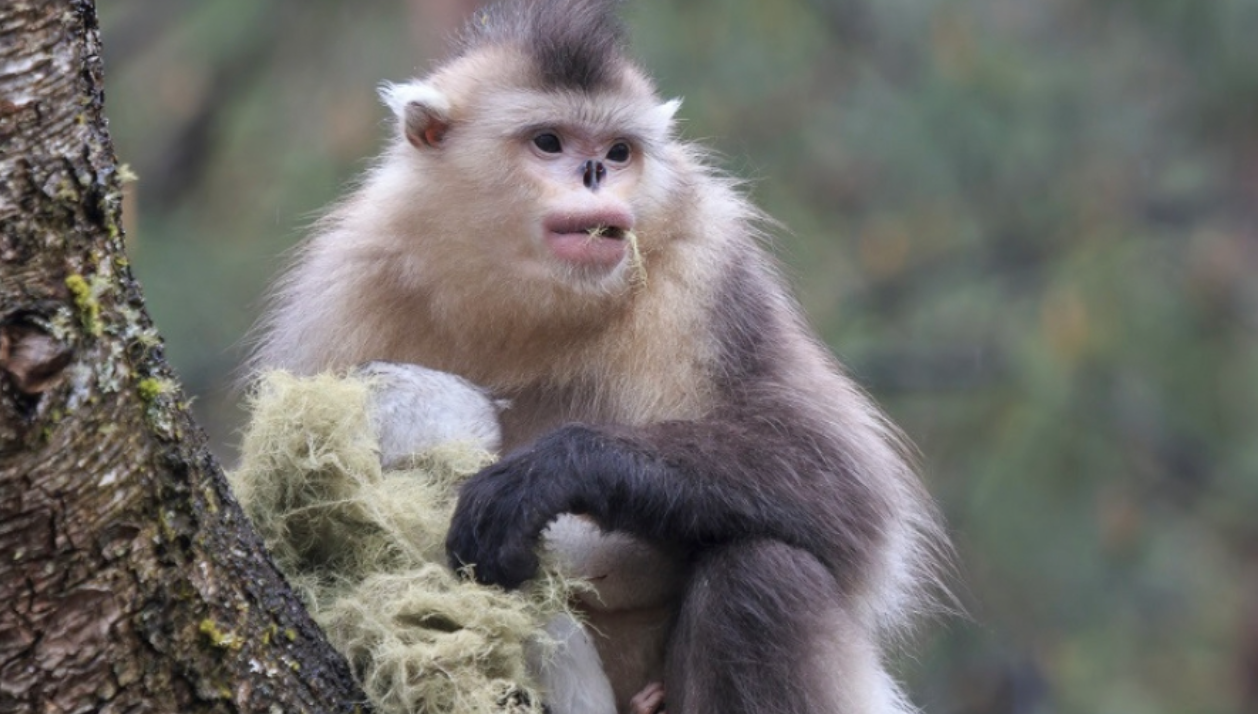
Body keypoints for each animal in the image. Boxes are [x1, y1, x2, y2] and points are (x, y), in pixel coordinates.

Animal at [250, 1, 946, 714]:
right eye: (549, 142)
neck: (522, 307)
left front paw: (554, 470)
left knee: (761, 569)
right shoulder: (342, 291)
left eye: (617, 151)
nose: (595, 175)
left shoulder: (708, 263)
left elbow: (853, 498)